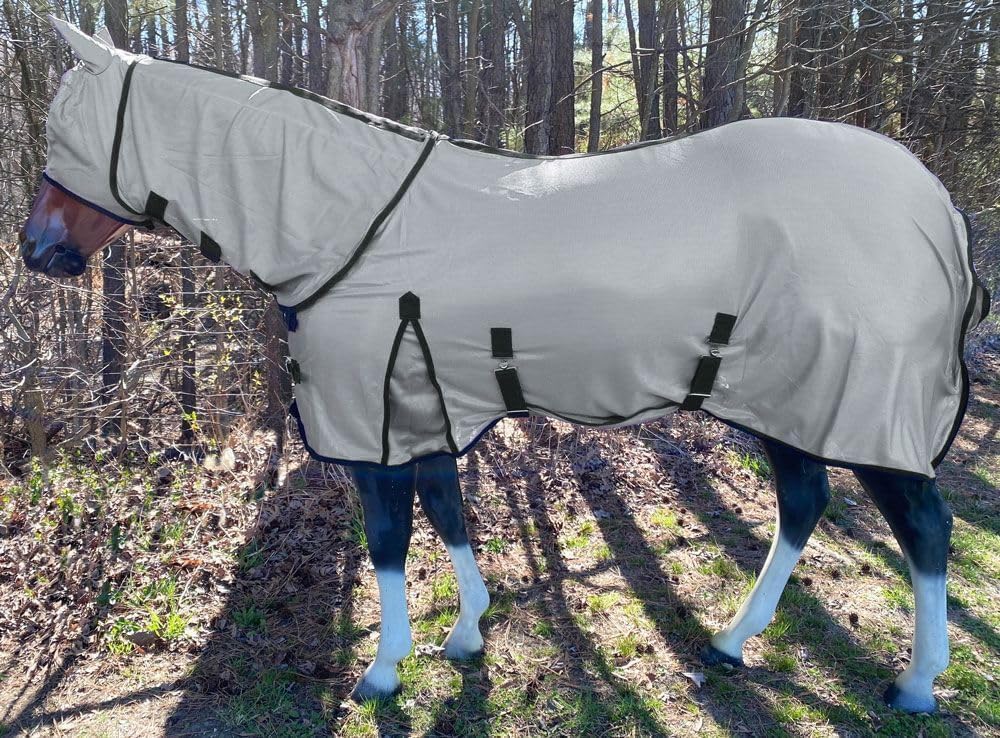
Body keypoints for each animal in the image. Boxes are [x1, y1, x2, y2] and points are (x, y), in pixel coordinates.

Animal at [20, 17, 990, 713]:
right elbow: (447, 516)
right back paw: (730, 642)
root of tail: (933, 204)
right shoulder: (420, 409)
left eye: (65, 133)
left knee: (925, 532)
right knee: (804, 504)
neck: (346, 223)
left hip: (858, 406)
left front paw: (385, 670)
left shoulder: (372, 424)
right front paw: (468, 633)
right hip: (786, 400)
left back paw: (916, 683)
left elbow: (388, 542)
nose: (36, 252)